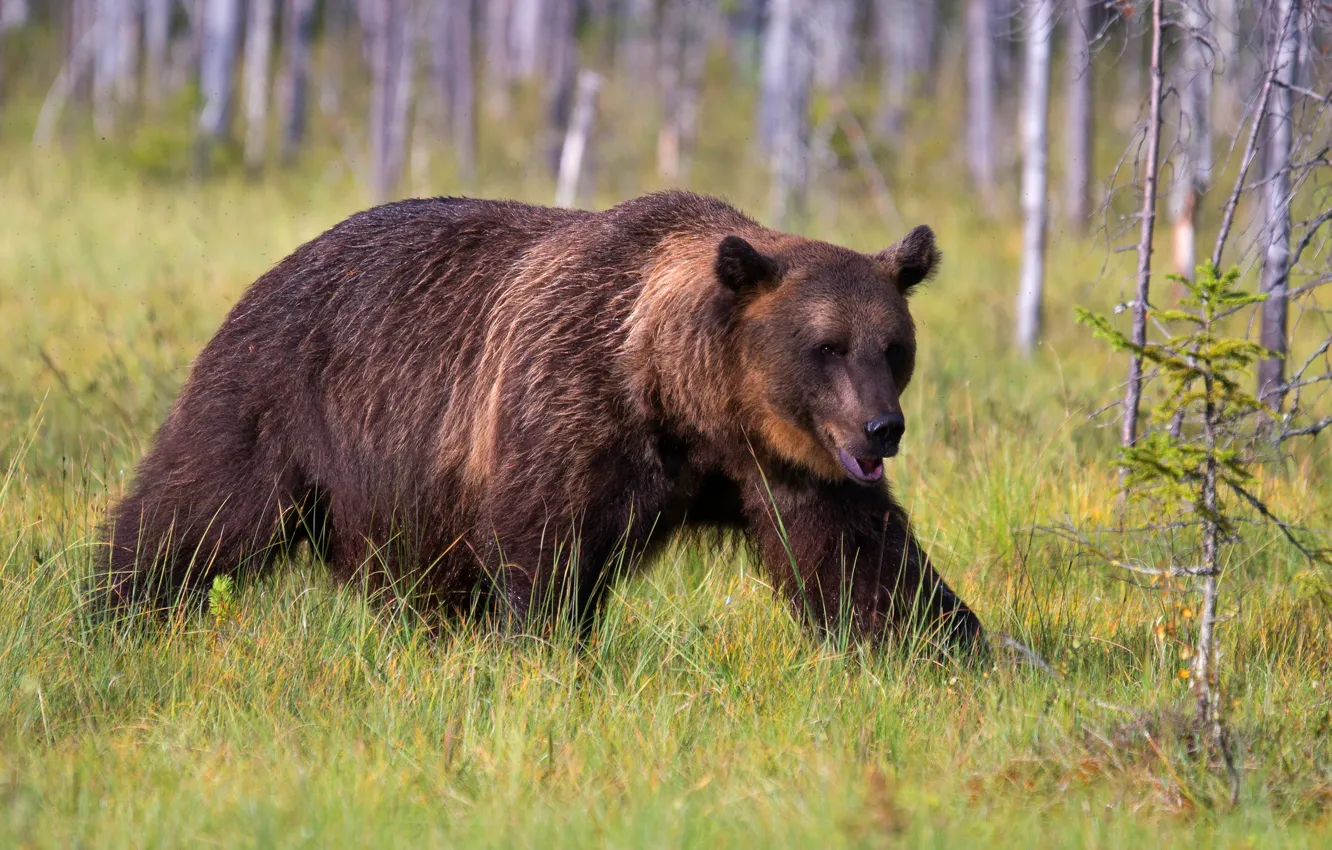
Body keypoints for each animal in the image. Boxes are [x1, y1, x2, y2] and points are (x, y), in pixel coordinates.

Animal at [101, 190, 982, 650]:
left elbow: (863, 564)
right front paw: (544, 649)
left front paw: (955, 646)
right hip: (283, 399)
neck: (681, 397)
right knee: (196, 509)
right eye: (826, 346)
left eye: (893, 346)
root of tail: (278, 264)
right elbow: (545, 545)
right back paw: (116, 609)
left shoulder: (785, 463)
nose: (882, 428)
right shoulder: (570, 400)